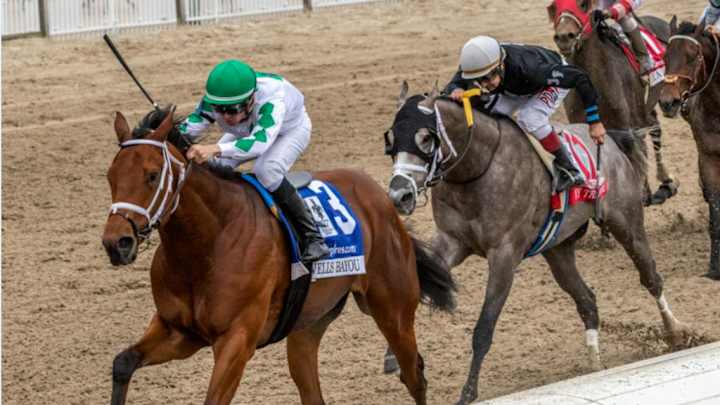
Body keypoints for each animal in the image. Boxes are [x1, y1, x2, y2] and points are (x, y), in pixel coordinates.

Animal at [100, 107, 456, 405]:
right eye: (110, 176)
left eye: (151, 175)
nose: (116, 243)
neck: (206, 246)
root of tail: (381, 197)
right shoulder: (179, 332)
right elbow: (122, 363)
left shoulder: (236, 340)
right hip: (307, 327)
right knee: (312, 390)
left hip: (392, 311)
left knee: (414, 376)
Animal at [384, 83, 687, 405]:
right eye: (391, 139)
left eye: (425, 138)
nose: (399, 195)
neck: (477, 168)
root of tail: (612, 141)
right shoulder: (451, 241)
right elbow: (415, 287)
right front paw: (393, 354)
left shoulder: (504, 255)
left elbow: (484, 328)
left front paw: (468, 393)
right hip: (558, 250)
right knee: (586, 300)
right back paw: (594, 362)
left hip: (627, 225)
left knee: (651, 278)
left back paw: (675, 332)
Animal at [548, 0, 678, 206]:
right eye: (554, 6)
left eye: (583, 4)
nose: (564, 36)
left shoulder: (627, 129)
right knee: (653, 125)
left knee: (655, 130)